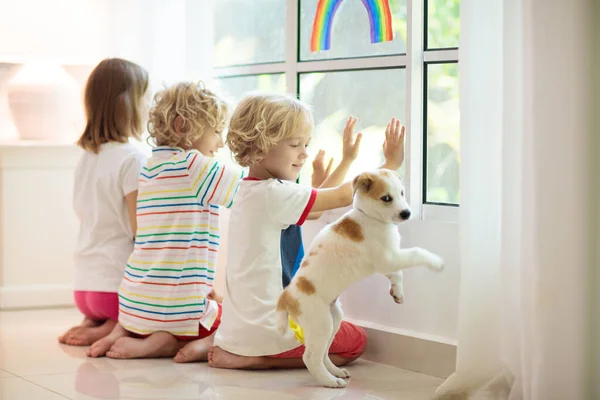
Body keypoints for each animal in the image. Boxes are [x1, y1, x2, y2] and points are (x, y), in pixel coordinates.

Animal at [274, 169, 442, 388]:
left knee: (324, 353)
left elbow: (397, 274)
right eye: (386, 198)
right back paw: (330, 381)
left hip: (334, 319)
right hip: (320, 323)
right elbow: (416, 253)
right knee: (310, 357)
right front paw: (436, 262)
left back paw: (335, 371)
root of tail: (286, 297)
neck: (369, 216)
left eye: (402, 193)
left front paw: (397, 292)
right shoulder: (389, 259)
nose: (406, 213)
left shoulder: (386, 262)